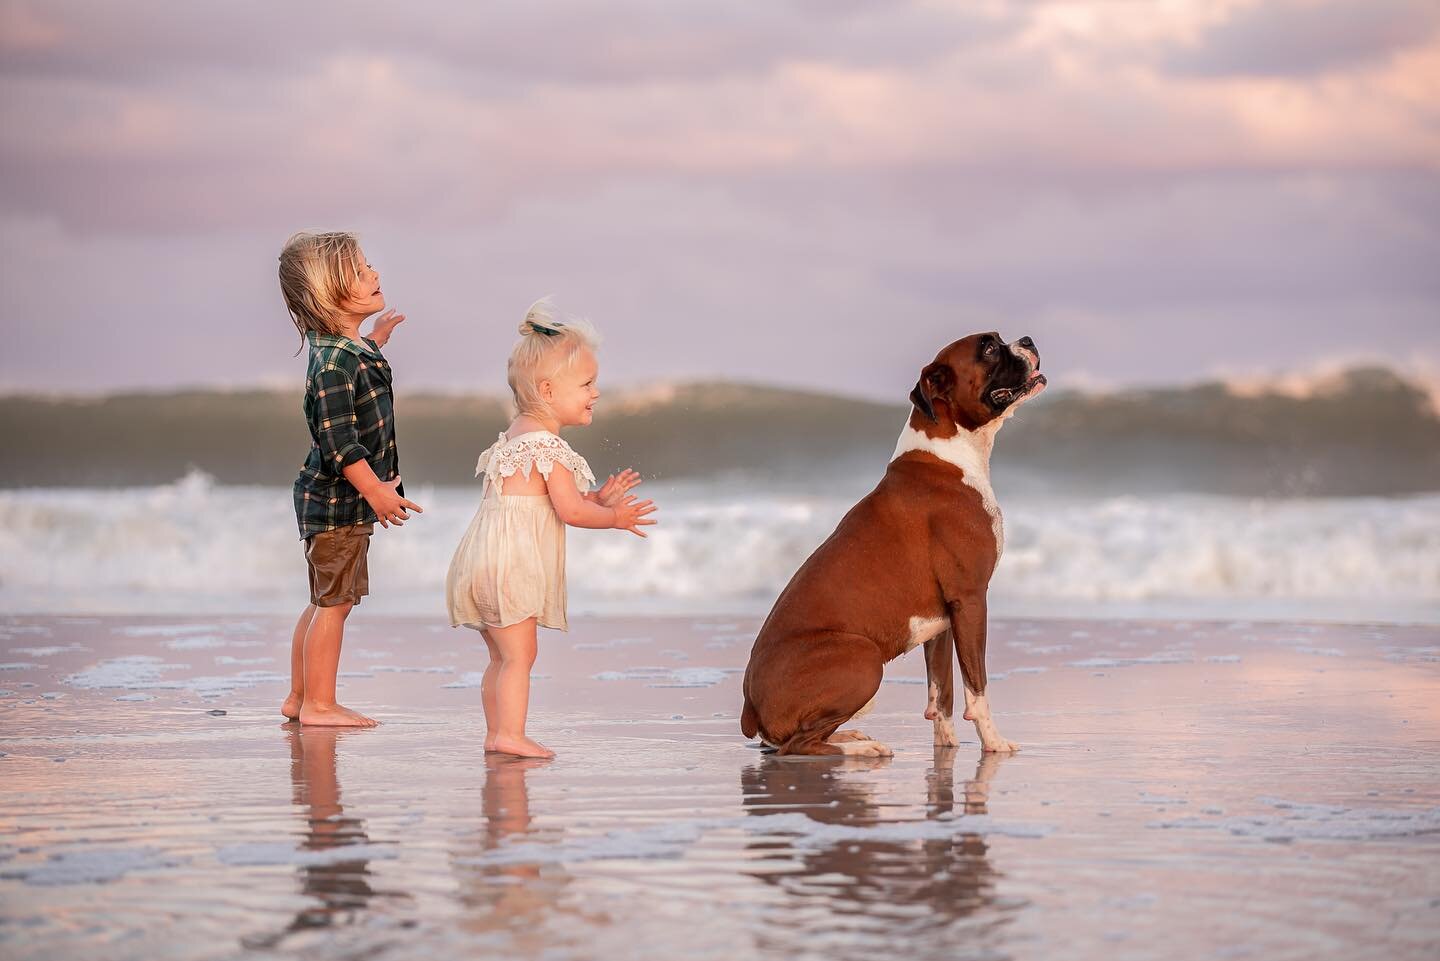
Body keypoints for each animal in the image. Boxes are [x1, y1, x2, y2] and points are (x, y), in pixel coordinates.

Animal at [743, 334, 1048, 754]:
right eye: (988, 348)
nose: (1027, 340)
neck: (948, 455)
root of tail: (750, 707)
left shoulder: (942, 624)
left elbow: (942, 693)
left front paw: (946, 747)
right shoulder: (971, 601)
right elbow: (977, 687)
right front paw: (994, 742)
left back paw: (852, 737)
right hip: (864, 656)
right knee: (798, 746)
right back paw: (857, 749)